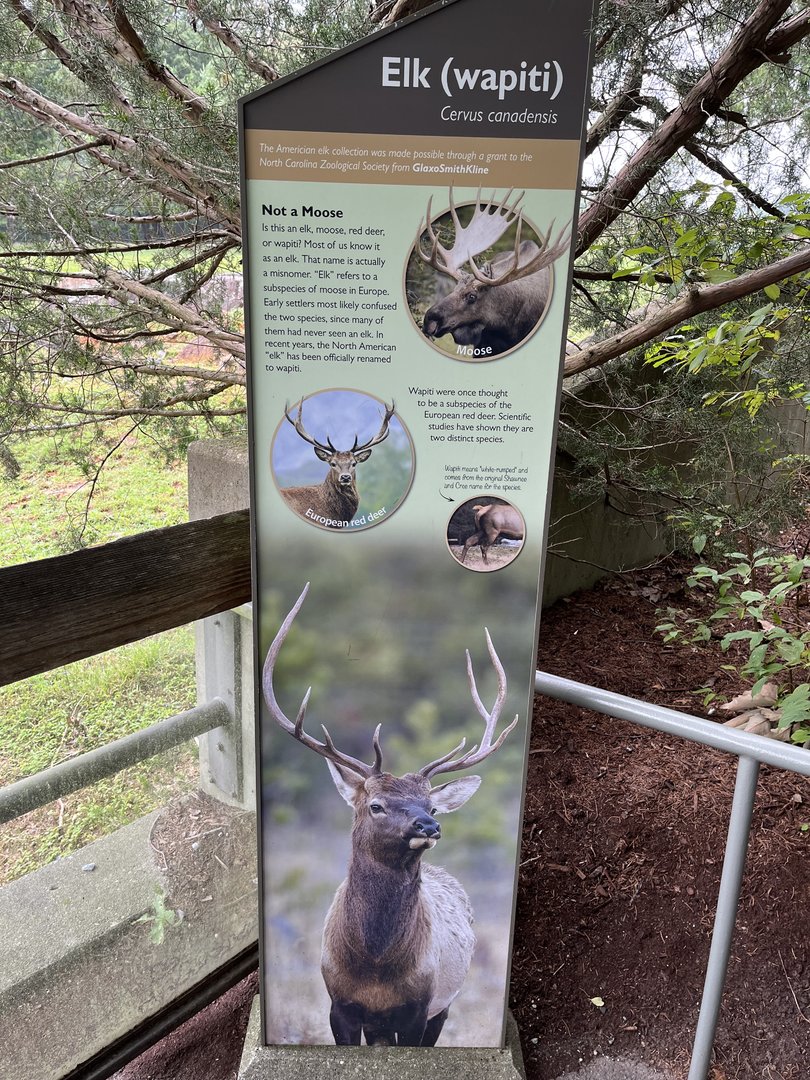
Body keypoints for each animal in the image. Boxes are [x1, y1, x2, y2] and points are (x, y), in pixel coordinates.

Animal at [262, 583, 519, 1047]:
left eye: (431, 805)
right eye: (375, 805)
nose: (429, 825)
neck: (375, 968)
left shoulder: (420, 1006)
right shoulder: (339, 1005)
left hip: (445, 1006)